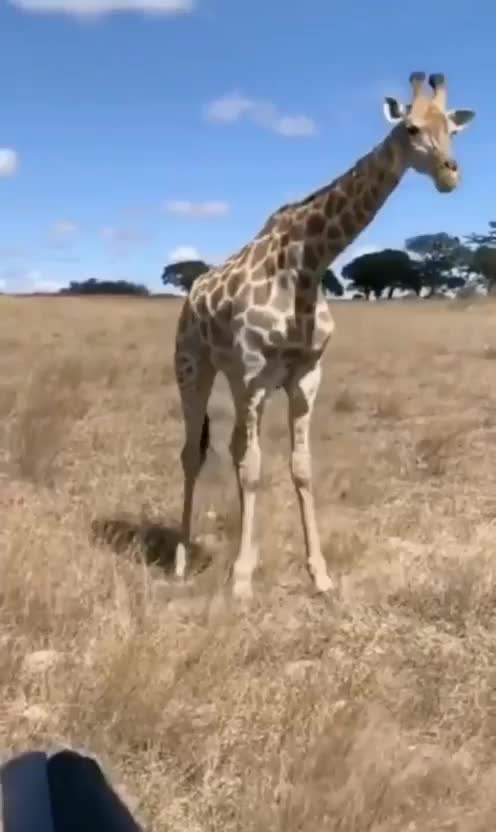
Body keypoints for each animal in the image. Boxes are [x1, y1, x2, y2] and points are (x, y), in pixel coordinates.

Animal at [173, 71, 476, 599]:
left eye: (453, 131)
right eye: (412, 128)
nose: (449, 175)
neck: (309, 263)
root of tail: (191, 293)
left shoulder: (304, 376)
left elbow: (299, 468)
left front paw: (320, 574)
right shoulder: (254, 374)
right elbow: (255, 468)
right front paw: (242, 581)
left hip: (234, 379)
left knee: (232, 449)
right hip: (194, 367)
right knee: (194, 453)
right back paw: (182, 558)